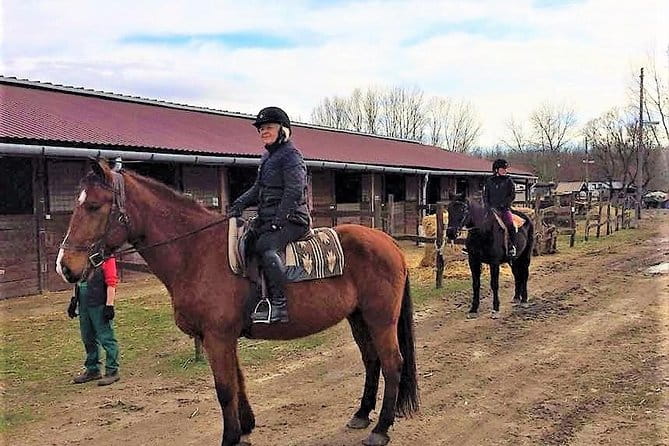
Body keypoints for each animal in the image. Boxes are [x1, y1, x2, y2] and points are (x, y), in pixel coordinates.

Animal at [55, 160, 418, 446]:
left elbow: (225, 388)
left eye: (94, 207)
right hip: (359, 317)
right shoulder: (223, 338)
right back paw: (362, 414)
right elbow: (238, 381)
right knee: (372, 361)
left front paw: (230, 437)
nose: (65, 266)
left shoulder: (217, 338)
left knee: (392, 364)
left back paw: (381, 429)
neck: (196, 252)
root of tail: (389, 243)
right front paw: (245, 428)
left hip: (380, 319)